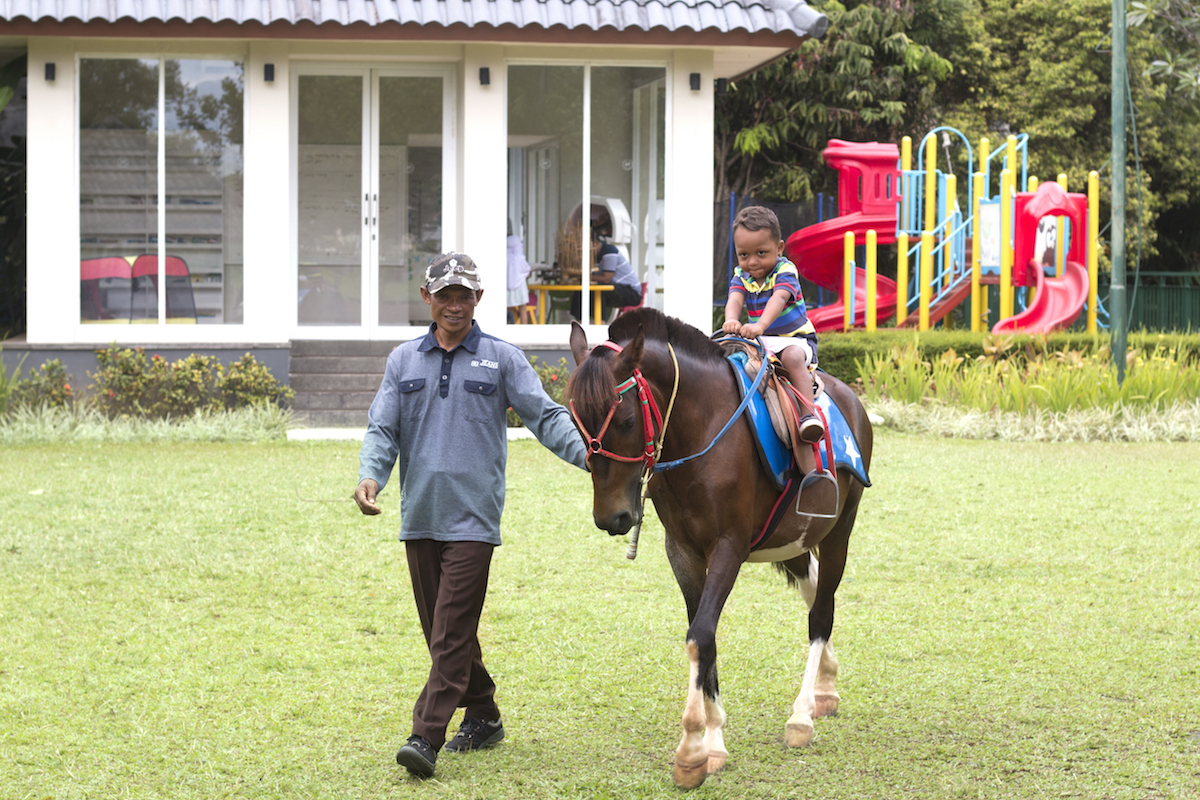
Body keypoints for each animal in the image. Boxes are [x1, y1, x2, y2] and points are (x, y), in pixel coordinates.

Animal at [566, 309, 878, 791]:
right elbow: (704, 635)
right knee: (814, 596)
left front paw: (692, 749)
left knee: (821, 613)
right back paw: (825, 687)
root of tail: (849, 397)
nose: (610, 517)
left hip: (838, 530)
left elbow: (700, 636)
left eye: (626, 422)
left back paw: (802, 714)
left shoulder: (728, 547)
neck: (701, 431)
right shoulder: (682, 551)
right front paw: (713, 741)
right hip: (792, 539)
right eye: (576, 419)